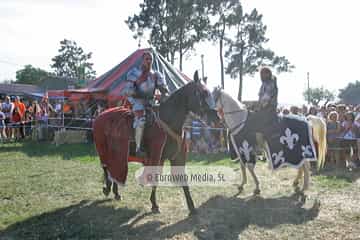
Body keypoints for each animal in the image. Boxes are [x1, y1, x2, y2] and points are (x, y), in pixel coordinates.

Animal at [92, 71, 219, 214]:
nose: (216, 118)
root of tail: (100, 115)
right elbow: (155, 178)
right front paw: (154, 204)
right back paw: (107, 189)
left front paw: (191, 207)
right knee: (105, 167)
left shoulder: (178, 158)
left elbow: (184, 180)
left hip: (118, 152)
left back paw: (116, 192)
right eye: (203, 93)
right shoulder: (157, 157)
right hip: (102, 148)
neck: (169, 120)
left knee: (114, 167)